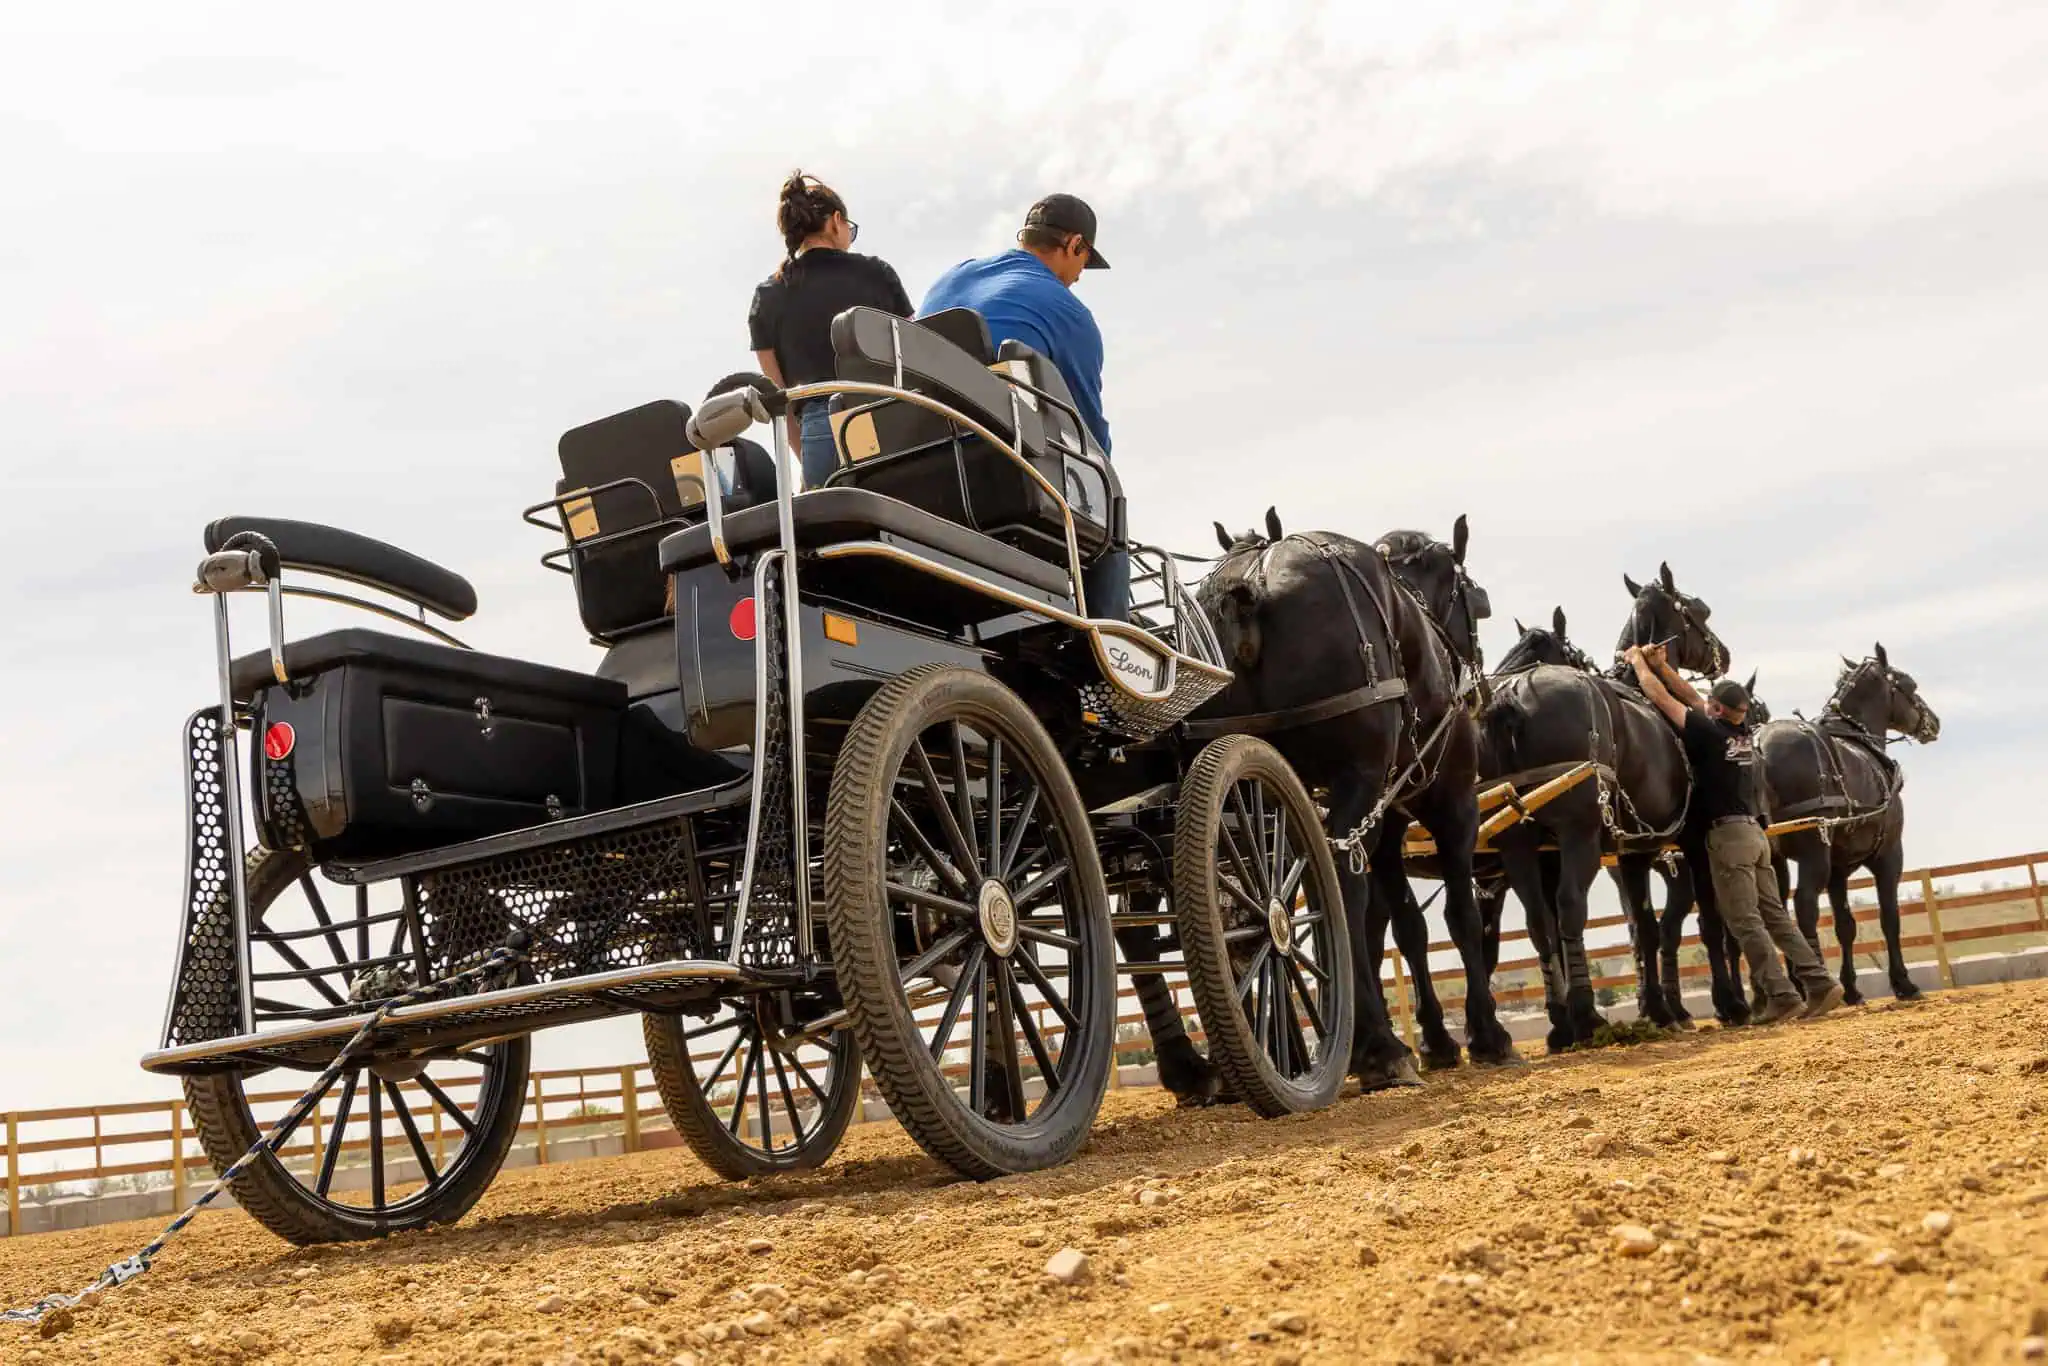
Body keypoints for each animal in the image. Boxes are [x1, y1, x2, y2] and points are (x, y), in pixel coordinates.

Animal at [1188, 510, 1518, 1086]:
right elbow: (1459, 915)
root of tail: (1254, 584)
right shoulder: (1453, 805)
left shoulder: (1387, 823)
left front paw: (1437, 1039)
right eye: (1477, 603)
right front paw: (1485, 1032)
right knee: (1340, 887)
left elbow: (1407, 926)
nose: (1479, 688)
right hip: (1355, 784)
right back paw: (1377, 1047)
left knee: (1247, 903)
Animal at [1476, 564, 1730, 1050]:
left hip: (1517, 844)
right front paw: (1729, 1002)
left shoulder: (1633, 853)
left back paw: (1561, 1024)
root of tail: (1513, 695)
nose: (1721, 654)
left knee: (1539, 920)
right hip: (1579, 835)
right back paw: (1585, 1016)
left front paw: (1656, 1009)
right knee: (1570, 906)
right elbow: (1707, 919)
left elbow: (1643, 928)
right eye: (1700, 611)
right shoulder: (1692, 836)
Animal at [1759, 645, 1942, 1004]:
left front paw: (1853, 988)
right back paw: (1817, 984)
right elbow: (1889, 918)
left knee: (1774, 910)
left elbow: (1845, 925)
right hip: (1813, 851)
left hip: (1774, 858)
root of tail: (1759, 748)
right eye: (1909, 685)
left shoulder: (1839, 869)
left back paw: (1795, 986)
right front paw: (1903, 982)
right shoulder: (1889, 855)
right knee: (1804, 906)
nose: (1933, 721)